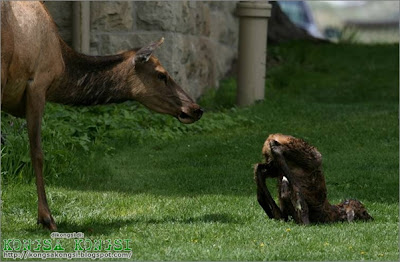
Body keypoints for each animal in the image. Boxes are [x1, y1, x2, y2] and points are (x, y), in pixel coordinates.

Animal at [1, 1, 203, 230]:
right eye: (162, 75)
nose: (195, 108)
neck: (61, 68)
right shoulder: (37, 84)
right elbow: (37, 154)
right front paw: (46, 218)